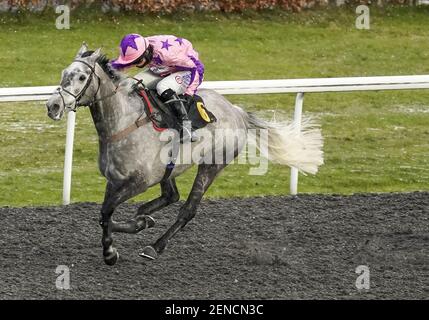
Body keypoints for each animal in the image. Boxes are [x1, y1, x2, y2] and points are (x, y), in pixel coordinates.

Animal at [45, 44, 322, 264]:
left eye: (81, 77)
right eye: (63, 74)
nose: (53, 106)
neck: (122, 123)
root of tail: (236, 110)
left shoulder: (139, 181)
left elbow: (106, 213)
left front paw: (110, 253)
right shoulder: (114, 180)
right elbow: (105, 214)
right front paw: (136, 226)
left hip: (212, 165)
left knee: (187, 209)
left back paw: (155, 247)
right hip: (170, 169)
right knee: (171, 196)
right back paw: (145, 220)